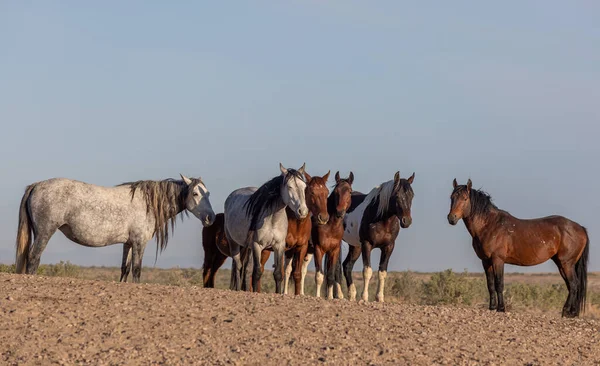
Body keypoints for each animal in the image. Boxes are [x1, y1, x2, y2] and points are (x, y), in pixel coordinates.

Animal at [15, 174, 216, 280]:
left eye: (208, 193)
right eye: (196, 193)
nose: (211, 218)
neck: (148, 204)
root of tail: (36, 186)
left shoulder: (128, 243)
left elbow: (124, 269)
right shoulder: (139, 243)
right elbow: (136, 270)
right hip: (44, 233)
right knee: (33, 258)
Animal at [225, 163, 310, 294]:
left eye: (304, 187)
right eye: (289, 186)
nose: (303, 211)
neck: (272, 219)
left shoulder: (279, 246)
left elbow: (278, 274)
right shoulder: (257, 245)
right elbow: (257, 273)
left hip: (248, 247)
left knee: (246, 269)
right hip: (233, 243)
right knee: (238, 266)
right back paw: (238, 290)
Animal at [448, 179, 588, 318]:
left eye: (465, 198)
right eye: (452, 197)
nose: (451, 218)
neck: (489, 225)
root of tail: (580, 228)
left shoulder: (498, 260)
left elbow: (499, 283)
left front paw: (501, 308)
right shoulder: (486, 261)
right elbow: (490, 285)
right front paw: (492, 308)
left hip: (566, 263)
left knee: (574, 284)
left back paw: (566, 311)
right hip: (561, 264)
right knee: (572, 285)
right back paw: (572, 312)